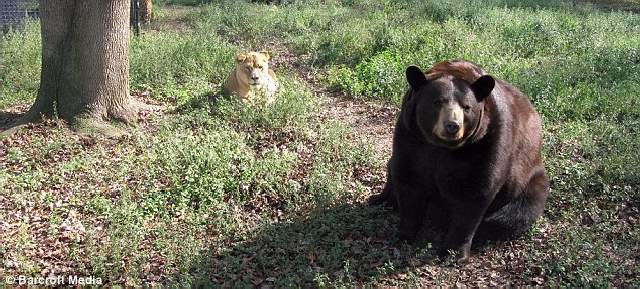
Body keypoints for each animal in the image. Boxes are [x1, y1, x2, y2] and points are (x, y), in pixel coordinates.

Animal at [372, 59, 552, 262]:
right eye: (437, 102)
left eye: (466, 107)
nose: (452, 126)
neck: (442, 147)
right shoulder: (410, 135)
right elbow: (409, 178)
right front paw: (405, 234)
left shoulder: (487, 141)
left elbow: (475, 192)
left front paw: (453, 252)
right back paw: (380, 199)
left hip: (528, 183)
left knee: (514, 215)